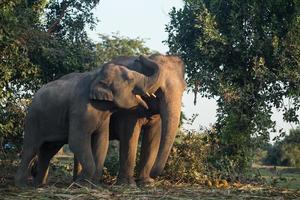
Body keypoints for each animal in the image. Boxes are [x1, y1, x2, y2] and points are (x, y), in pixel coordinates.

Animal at [14, 55, 161, 188]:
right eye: (130, 79)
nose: (140, 57)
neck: (96, 76)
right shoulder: (80, 109)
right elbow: (77, 140)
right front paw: (84, 184)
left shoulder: (103, 116)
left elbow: (102, 141)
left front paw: (93, 185)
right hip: (33, 120)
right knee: (30, 149)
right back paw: (22, 185)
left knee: (48, 151)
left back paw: (39, 185)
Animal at [73, 53, 185, 186]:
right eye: (158, 91)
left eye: (184, 89)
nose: (141, 57)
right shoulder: (126, 108)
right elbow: (129, 134)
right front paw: (129, 185)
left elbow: (153, 136)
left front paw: (147, 184)